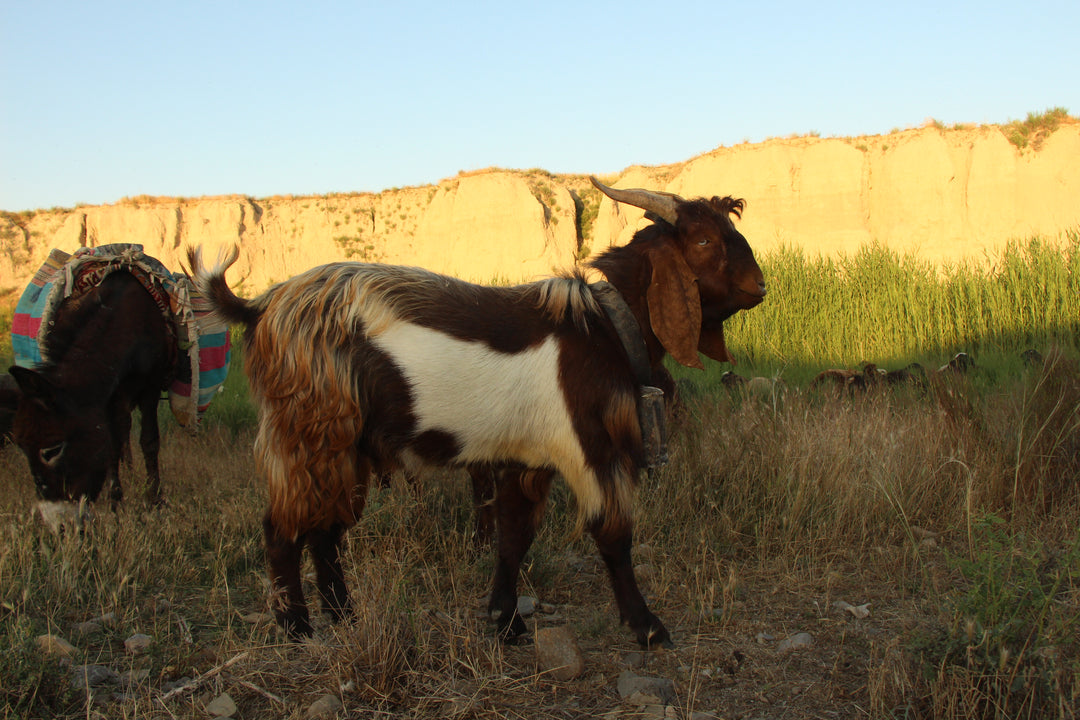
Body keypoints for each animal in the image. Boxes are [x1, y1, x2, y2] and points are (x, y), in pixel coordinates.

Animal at [192, 175, 768, 647]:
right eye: (703, 240)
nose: (759, 285)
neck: (601, 325)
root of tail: (261, 306)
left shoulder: (526, 459)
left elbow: (513, 537)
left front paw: (505, 621)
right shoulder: (588, 450)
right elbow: (612, 534)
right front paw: (647, 626)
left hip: (343, 447)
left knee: (325, 530)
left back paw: (344, 616)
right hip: (308, 432)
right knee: (282, 528)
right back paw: (297, 627)